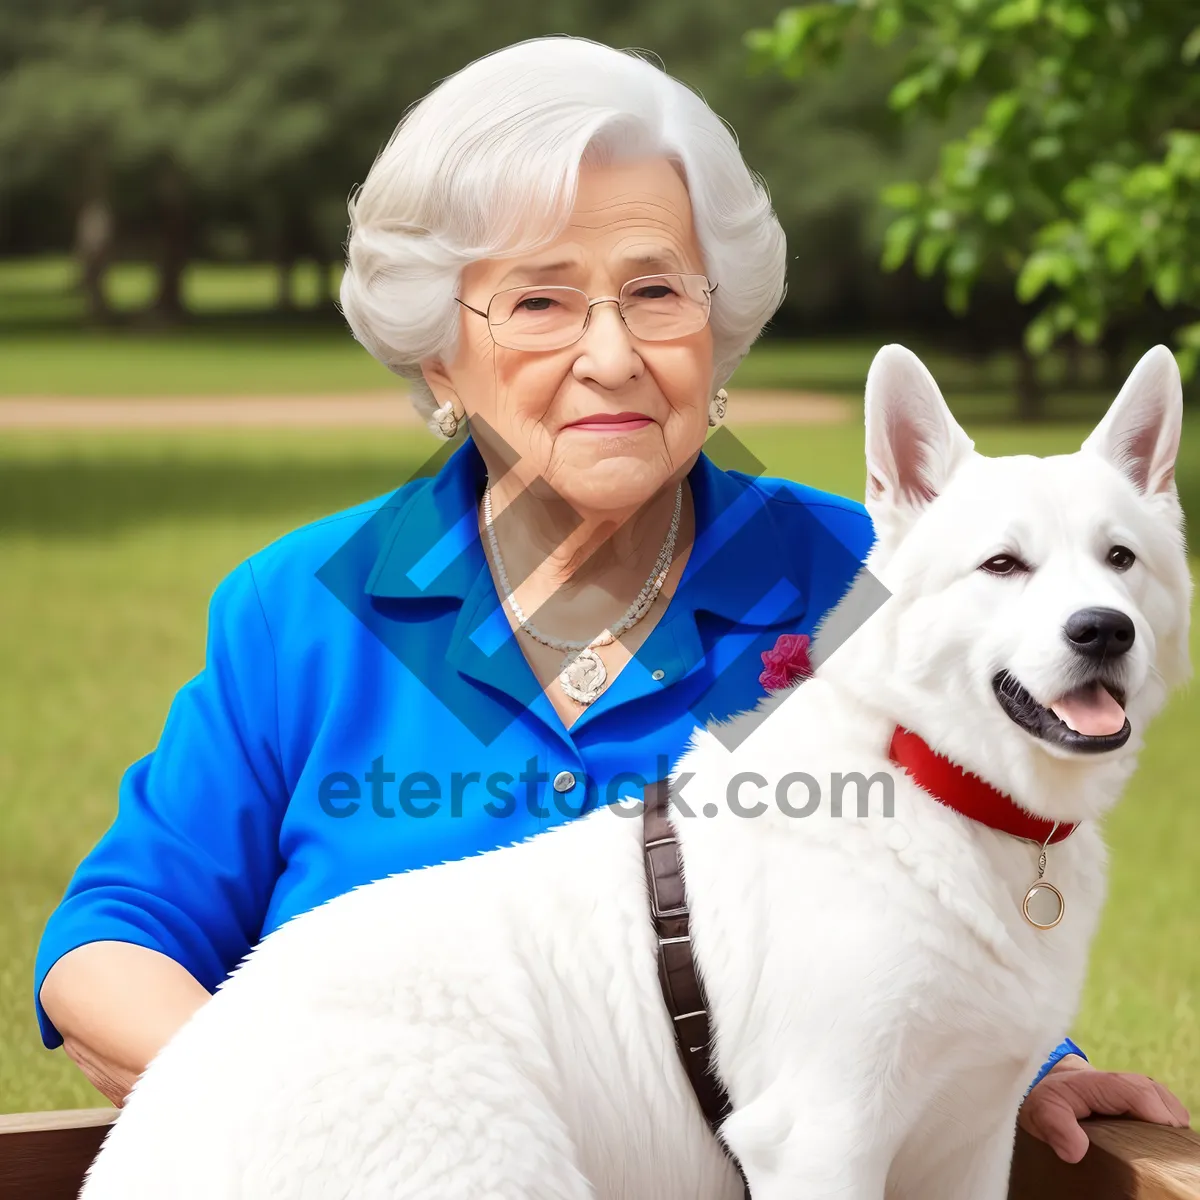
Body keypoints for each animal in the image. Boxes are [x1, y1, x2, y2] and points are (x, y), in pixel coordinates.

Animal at [77, 343, 1190, 1195]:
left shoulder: (966, 1143)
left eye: (1121, 561)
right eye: (1003, 566)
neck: (933, 775)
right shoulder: (821, 1138)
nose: (1104, 632)